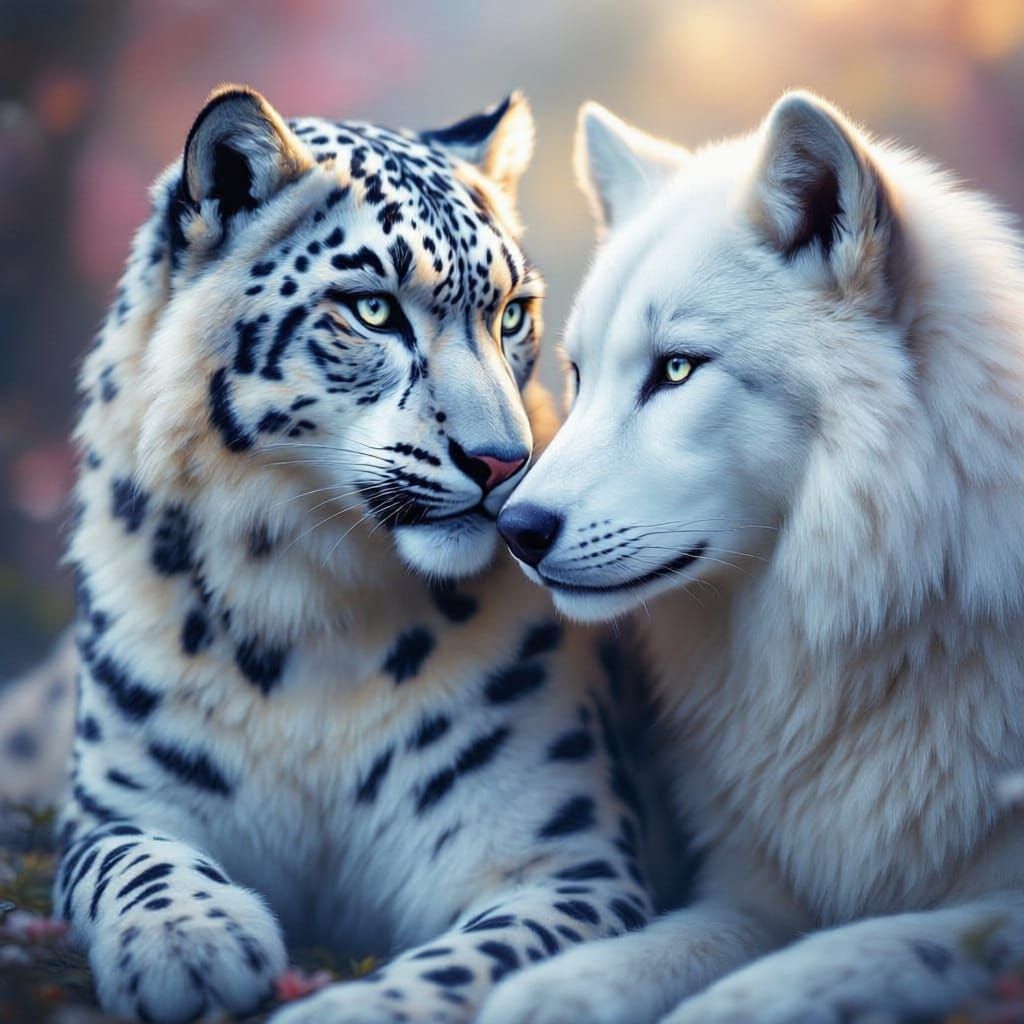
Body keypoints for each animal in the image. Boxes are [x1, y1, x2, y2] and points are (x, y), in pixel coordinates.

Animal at [483, 91, 1024, 1023]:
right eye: (579, 375)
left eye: (675, 370)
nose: (517, 528)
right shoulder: (749, 892)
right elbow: (663, 946)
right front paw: (550, 991)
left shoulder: (996, 901)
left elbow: (862, 948)